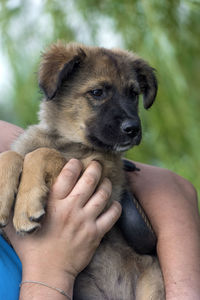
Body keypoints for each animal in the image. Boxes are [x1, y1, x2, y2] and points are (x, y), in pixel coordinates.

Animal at [0, 42, 164, 300]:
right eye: (97, 92)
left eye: (133, 94)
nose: (133, 129)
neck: (66, 140)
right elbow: (11, 155)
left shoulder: (101, 181)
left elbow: (44, 154)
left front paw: (26, 206)